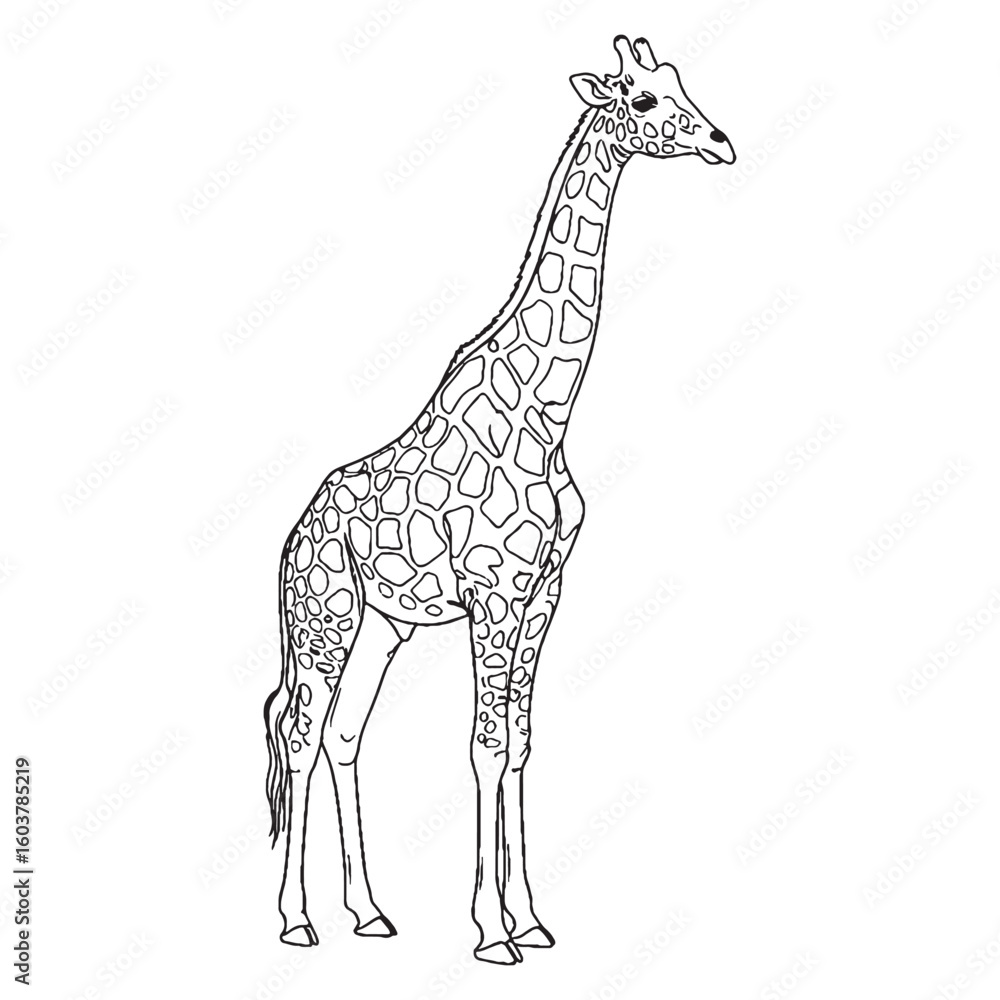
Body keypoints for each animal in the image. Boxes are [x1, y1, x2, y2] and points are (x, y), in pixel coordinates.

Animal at [263, 34, 734, 965]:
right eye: (644, 101)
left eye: (680, 85)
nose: (722, 142)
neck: (546, 409)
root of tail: (292, 539)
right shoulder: (495, 593)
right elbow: (483, 747)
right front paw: (490, 932)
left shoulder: (544, 592)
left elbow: (518, 744)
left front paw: (532, 920)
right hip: (326, 618)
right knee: (300, 735)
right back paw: (298, 921)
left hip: (385, 625)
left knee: (343, 734)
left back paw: (368, 912)